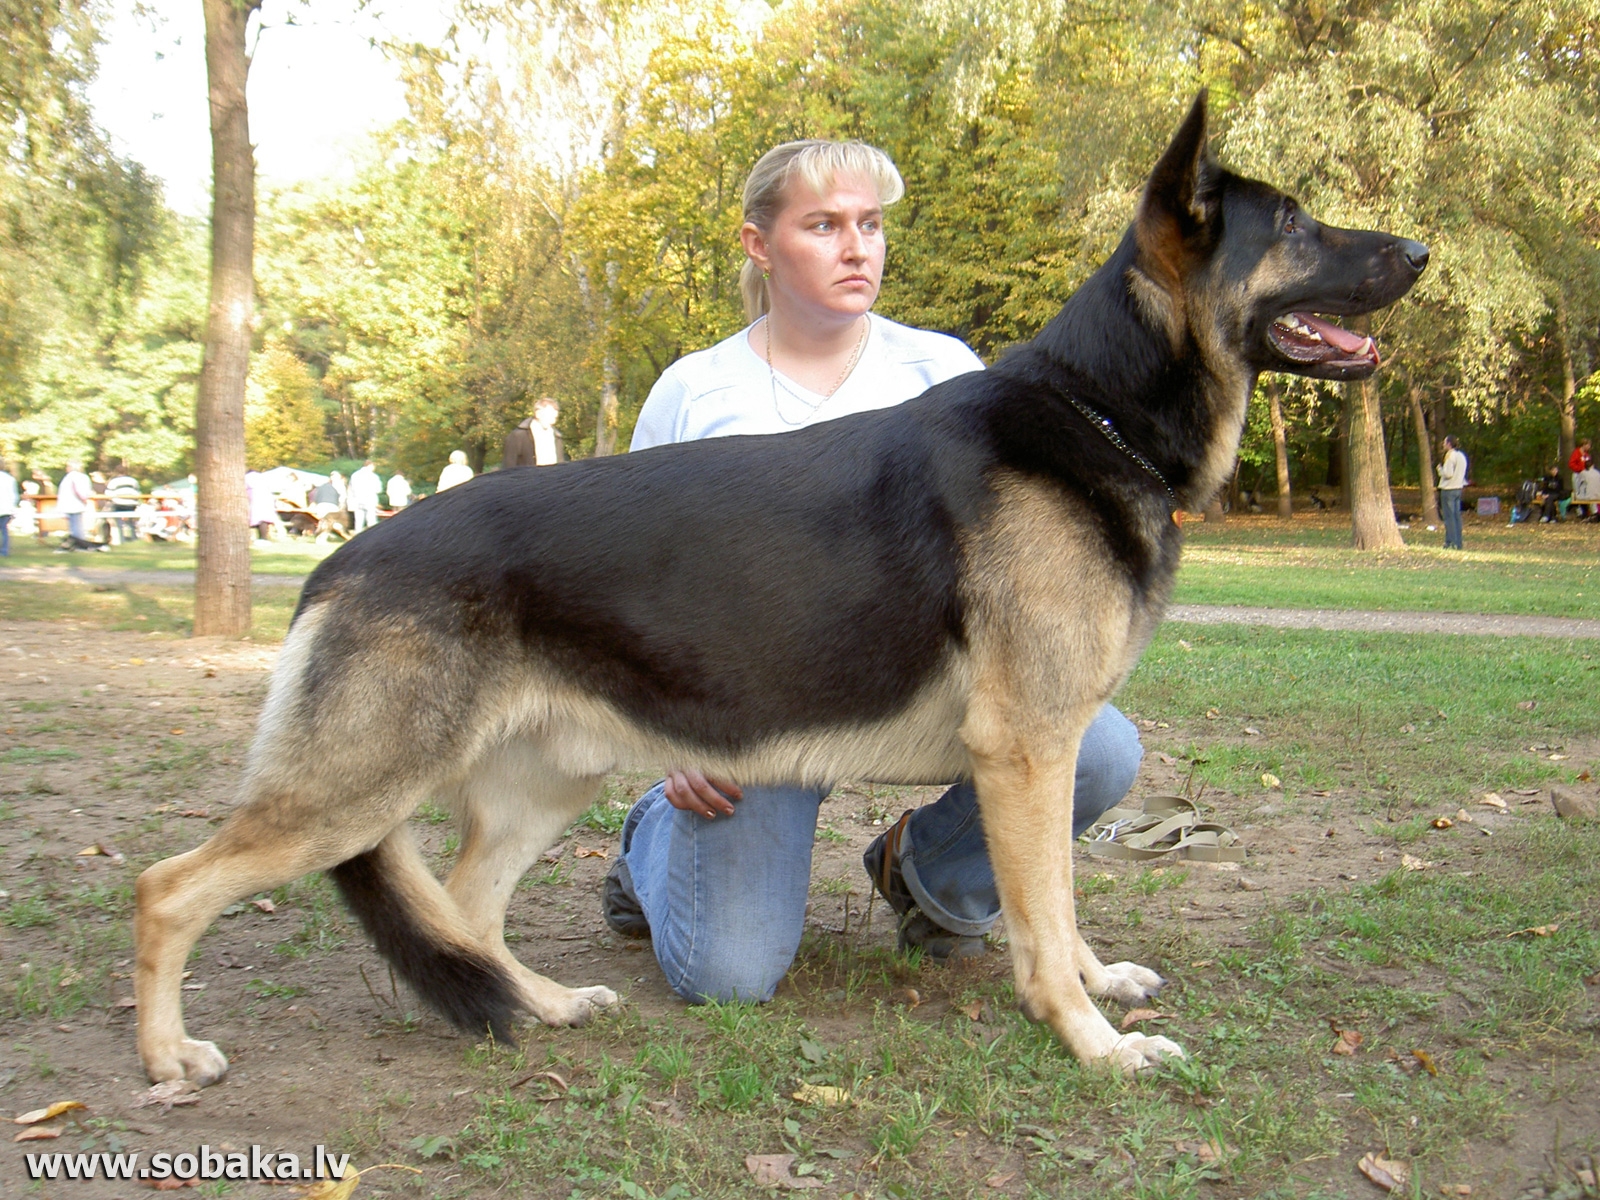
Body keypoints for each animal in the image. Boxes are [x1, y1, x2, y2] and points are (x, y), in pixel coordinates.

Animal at [128, 98, 1427, 1088]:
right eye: (1296, 223)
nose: (1419, 254)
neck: (1099, 408)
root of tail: (340, 560)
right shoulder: (1026, 748)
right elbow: (1045, 924)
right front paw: (1095, 1041)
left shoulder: (1047, 750)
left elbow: (1059, 909)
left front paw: (1098, 986)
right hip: (352, 794)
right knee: (168, 888)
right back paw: (167, 1055)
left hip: (540, 783)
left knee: (463, 909)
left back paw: (541, 1007)